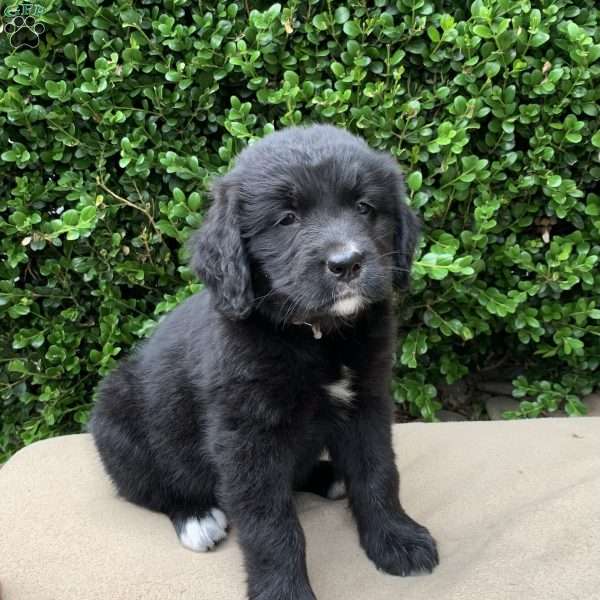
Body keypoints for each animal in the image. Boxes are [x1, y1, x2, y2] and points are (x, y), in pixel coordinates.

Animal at [90, 124, 436, 596]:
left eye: (365, 208)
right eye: (287, 219)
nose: (347, 262)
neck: (315, 336)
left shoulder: (367, 402)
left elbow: (379, 473)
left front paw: (396, 540)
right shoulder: (246, 437)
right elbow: (272, 524)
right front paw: (284, 591)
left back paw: (330, 477)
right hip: (117, 423)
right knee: (152, 488)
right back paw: (196, 518)